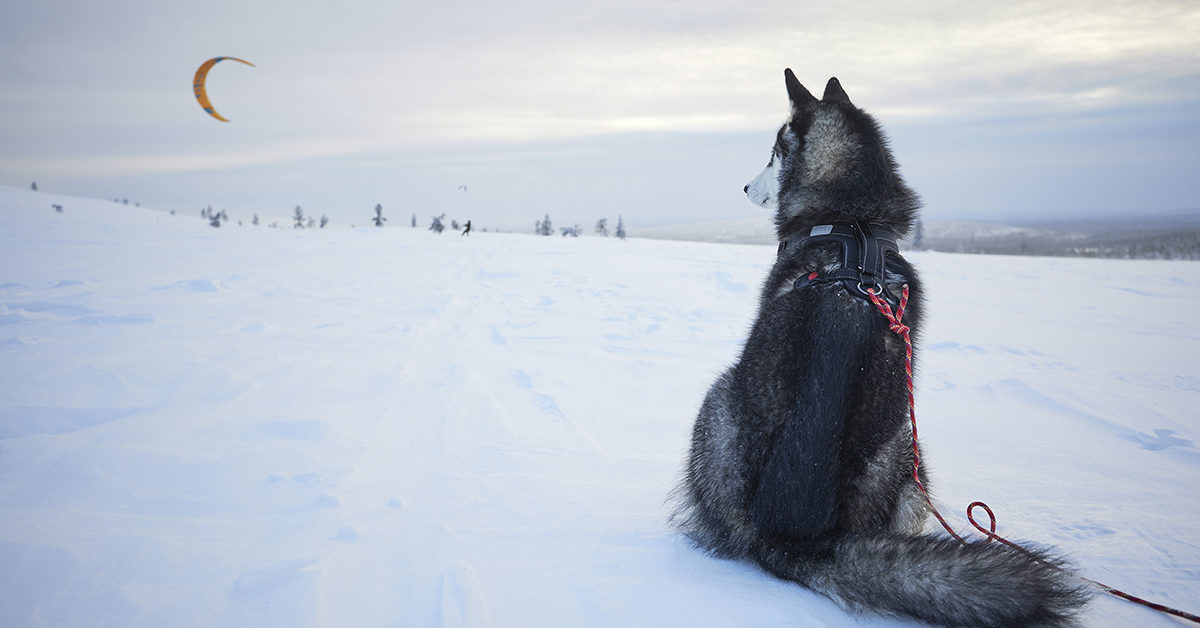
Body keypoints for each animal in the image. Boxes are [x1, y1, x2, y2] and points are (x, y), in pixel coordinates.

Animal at [672, 68, 1094, 628]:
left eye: (773, 152)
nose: (743, 186)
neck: (852, 222)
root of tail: (793, 538)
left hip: (729, 403)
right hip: (901, 450)